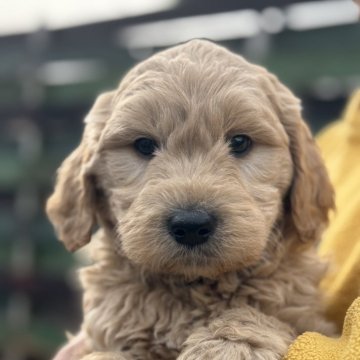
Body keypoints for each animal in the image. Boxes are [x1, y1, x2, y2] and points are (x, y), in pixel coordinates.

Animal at [47, 40, 334, 360]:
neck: (195, 286)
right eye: (143, 145)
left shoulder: (311, 319)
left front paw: (227, 345)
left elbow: (261, 317)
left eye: (240, 142)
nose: (191, 225)